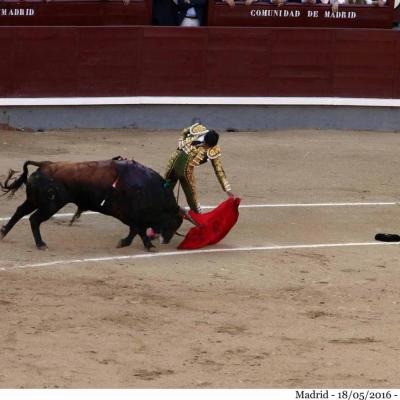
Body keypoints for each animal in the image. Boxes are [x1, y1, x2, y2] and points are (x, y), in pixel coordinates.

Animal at [0, 159, 194, 250]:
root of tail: (45, 164)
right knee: (34, 219)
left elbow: (134, 229)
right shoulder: (128, 214)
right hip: (50, 205)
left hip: (34, 200)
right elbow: (138, 229)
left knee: (19, 212)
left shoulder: (130, 216)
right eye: (174, 222)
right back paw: (41, 244)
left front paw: (124, 242)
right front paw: (148, 245)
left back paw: (3, 233)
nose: (166, 241)